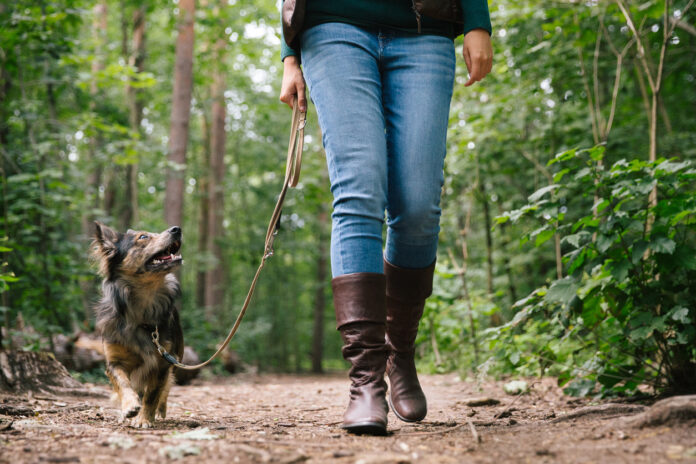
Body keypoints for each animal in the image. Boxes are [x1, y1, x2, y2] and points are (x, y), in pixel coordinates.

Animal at [92, 222, 185, 428]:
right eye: (143, 237)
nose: (177, 229)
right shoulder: (114, 361)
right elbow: (122, 383)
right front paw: (129, 406)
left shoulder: (163, 362)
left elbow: (152, 394)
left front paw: (144, 418)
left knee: (166, 388)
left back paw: (160, 410)